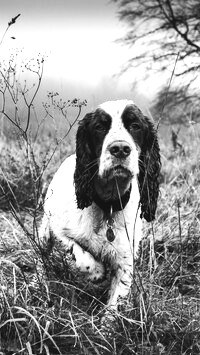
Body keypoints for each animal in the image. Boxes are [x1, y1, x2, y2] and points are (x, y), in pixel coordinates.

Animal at [40, 99, 161, 308]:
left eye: (135, 126)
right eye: (99, 127)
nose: (120, 149)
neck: (108, 206)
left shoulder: (125, 260)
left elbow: (115, 303)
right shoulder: (59, 229)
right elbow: (78, 251)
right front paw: (96, 272)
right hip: (44, 233)